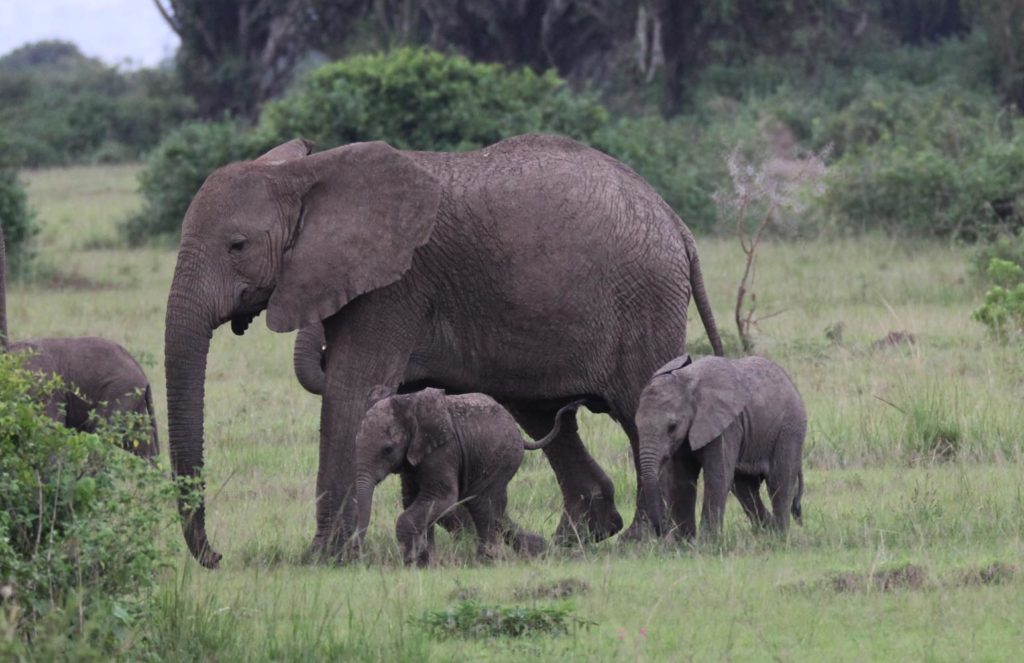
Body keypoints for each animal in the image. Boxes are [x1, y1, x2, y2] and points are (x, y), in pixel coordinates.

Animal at [354, 389, 581, 565]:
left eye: (388, 449)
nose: (358, 555)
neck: (407, 403)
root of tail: (518, 432)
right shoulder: (414, 459)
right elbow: (413, 500)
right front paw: (424, 563)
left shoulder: (443, 450)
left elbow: (441, 498)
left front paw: (413, 561)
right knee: (497, 511)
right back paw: (538, 550)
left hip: (501, 458)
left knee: (482, 505)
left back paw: (487, 561)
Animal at [634, 352, 802, 541]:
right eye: (636, 425)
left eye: (672, 427)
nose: (661, 531)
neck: (687, 383)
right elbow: (680, 480)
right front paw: (685, 543)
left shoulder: (726, 426)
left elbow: (717, 477)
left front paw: (707, 543)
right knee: (744, 488)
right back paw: (768, 531)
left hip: (790, 428)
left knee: (779, 482)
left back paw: (779, 538)